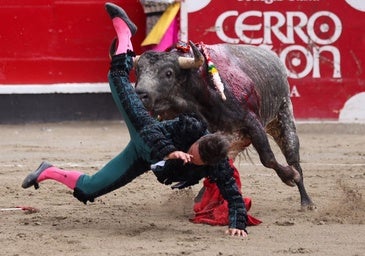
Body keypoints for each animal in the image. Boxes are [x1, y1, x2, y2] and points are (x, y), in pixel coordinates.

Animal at [134, 40, 312, 208]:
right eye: (138, 71)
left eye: (168, 73)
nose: (140, 94)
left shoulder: (253, 122)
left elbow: (267, 158)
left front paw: (290, 176)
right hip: (236, 140)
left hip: (283, 116)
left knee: (293, 158)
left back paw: (306, 200)